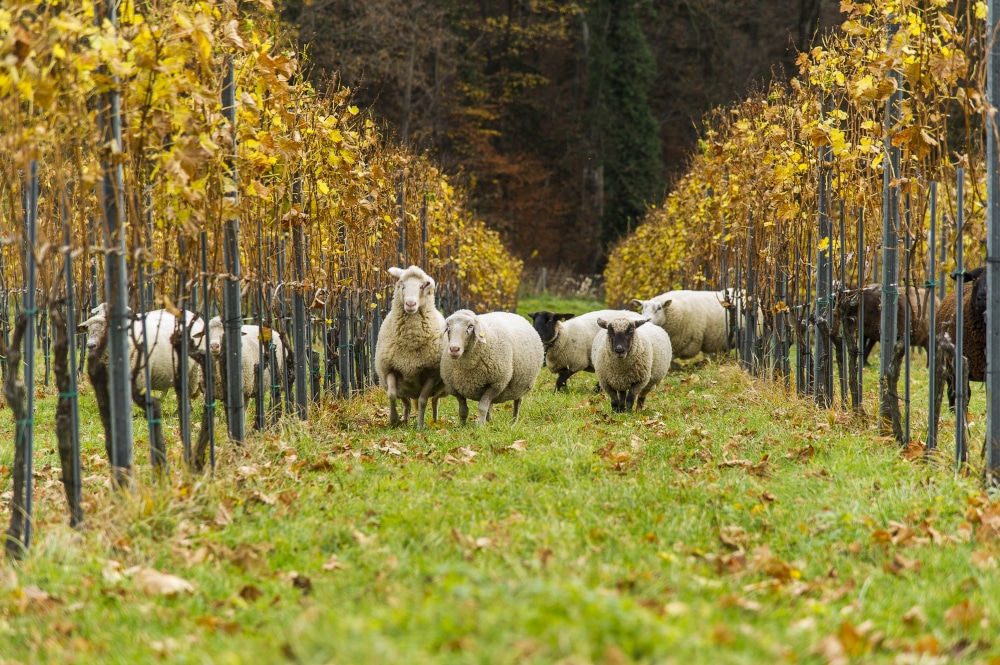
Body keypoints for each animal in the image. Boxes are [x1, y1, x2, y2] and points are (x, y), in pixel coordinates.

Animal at [376, 266, 446, 430]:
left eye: (422, 286)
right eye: (402, 285)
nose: (410, 304)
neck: (410, 342)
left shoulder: (431, 375)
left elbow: (422, 401)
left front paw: (420, 426)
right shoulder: (389, 369)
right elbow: (391, 395)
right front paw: (393, 420)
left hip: (440, 388)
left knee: (435, 401)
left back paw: (435, 421)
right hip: (404, 389)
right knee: (406, 403)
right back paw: (405, 420)